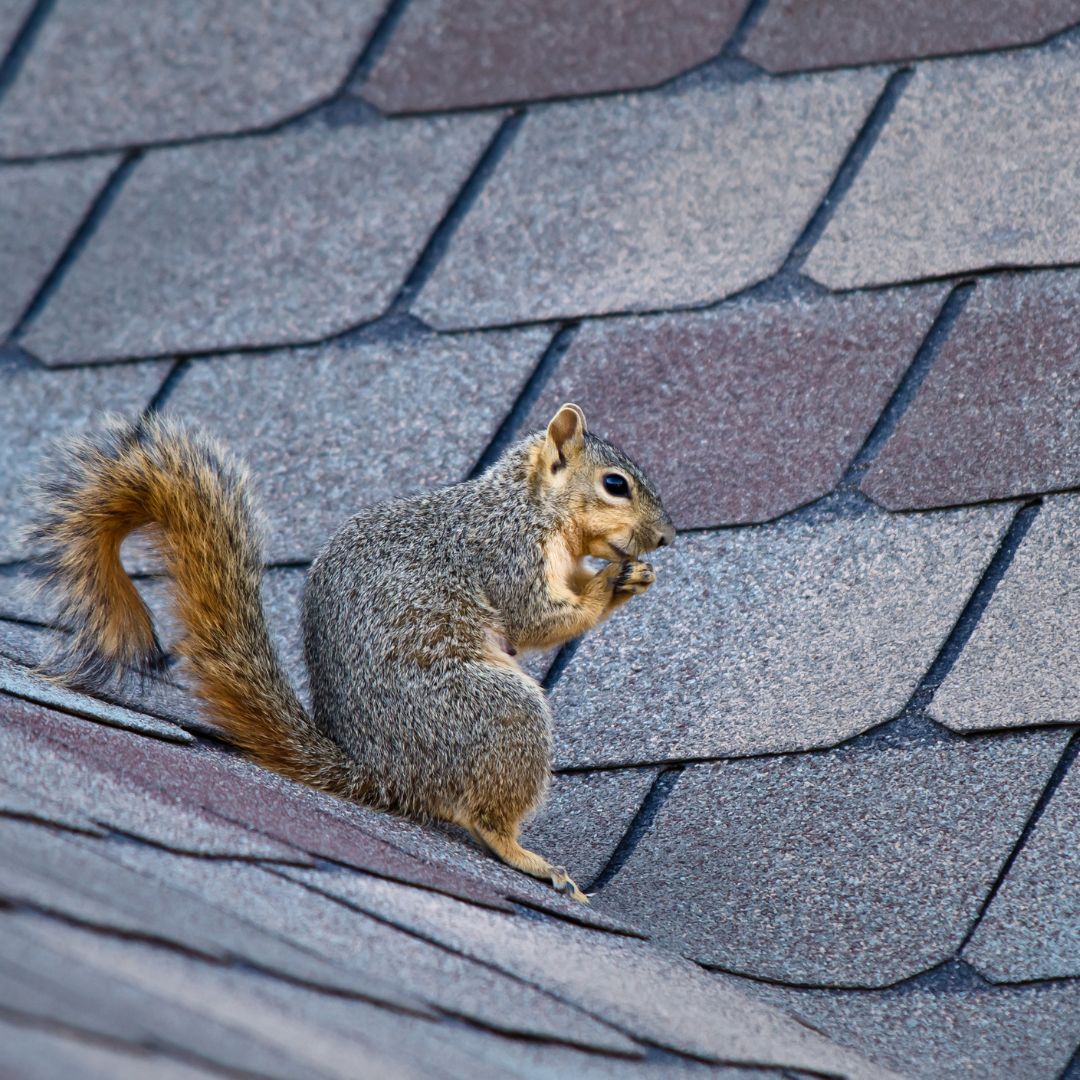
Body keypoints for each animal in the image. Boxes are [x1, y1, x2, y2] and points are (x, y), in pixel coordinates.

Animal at [27, 403, 674, 902]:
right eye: (615, 484)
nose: (667, 537)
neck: (529, 505)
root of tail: (381, 775)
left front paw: (629, 575)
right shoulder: (504, 553)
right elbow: (535, 617)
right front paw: (611, 584)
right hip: (496, 711)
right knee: (486, 817)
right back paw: (528, 857)